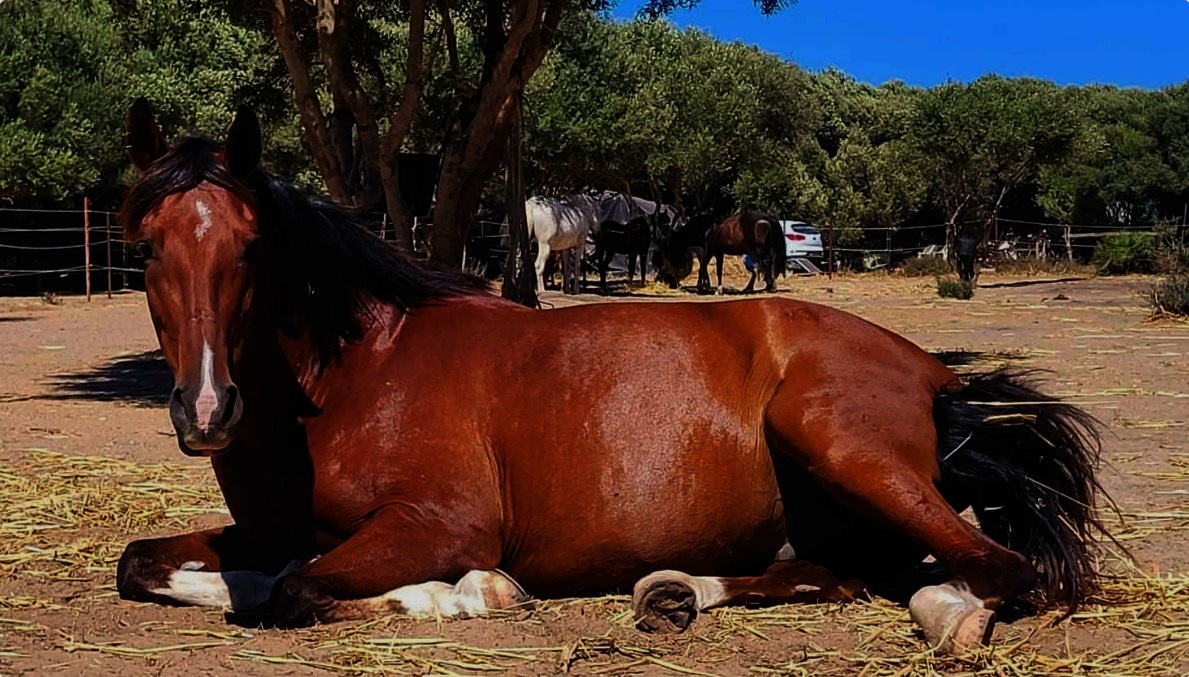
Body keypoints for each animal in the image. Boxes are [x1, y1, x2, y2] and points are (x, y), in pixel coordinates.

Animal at [116, 99, 1112, 656]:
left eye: (252, 246)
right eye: (147, 244)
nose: (206, 408)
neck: (360, 374)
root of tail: (932, 373)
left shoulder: (440, 523)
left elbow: (299, 587)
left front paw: (471, 592)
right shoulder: (266, 527)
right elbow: (150, 565)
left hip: (839, 443)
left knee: (993, 564)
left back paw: (950, 616)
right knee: (837, 572)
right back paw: (675, 593)